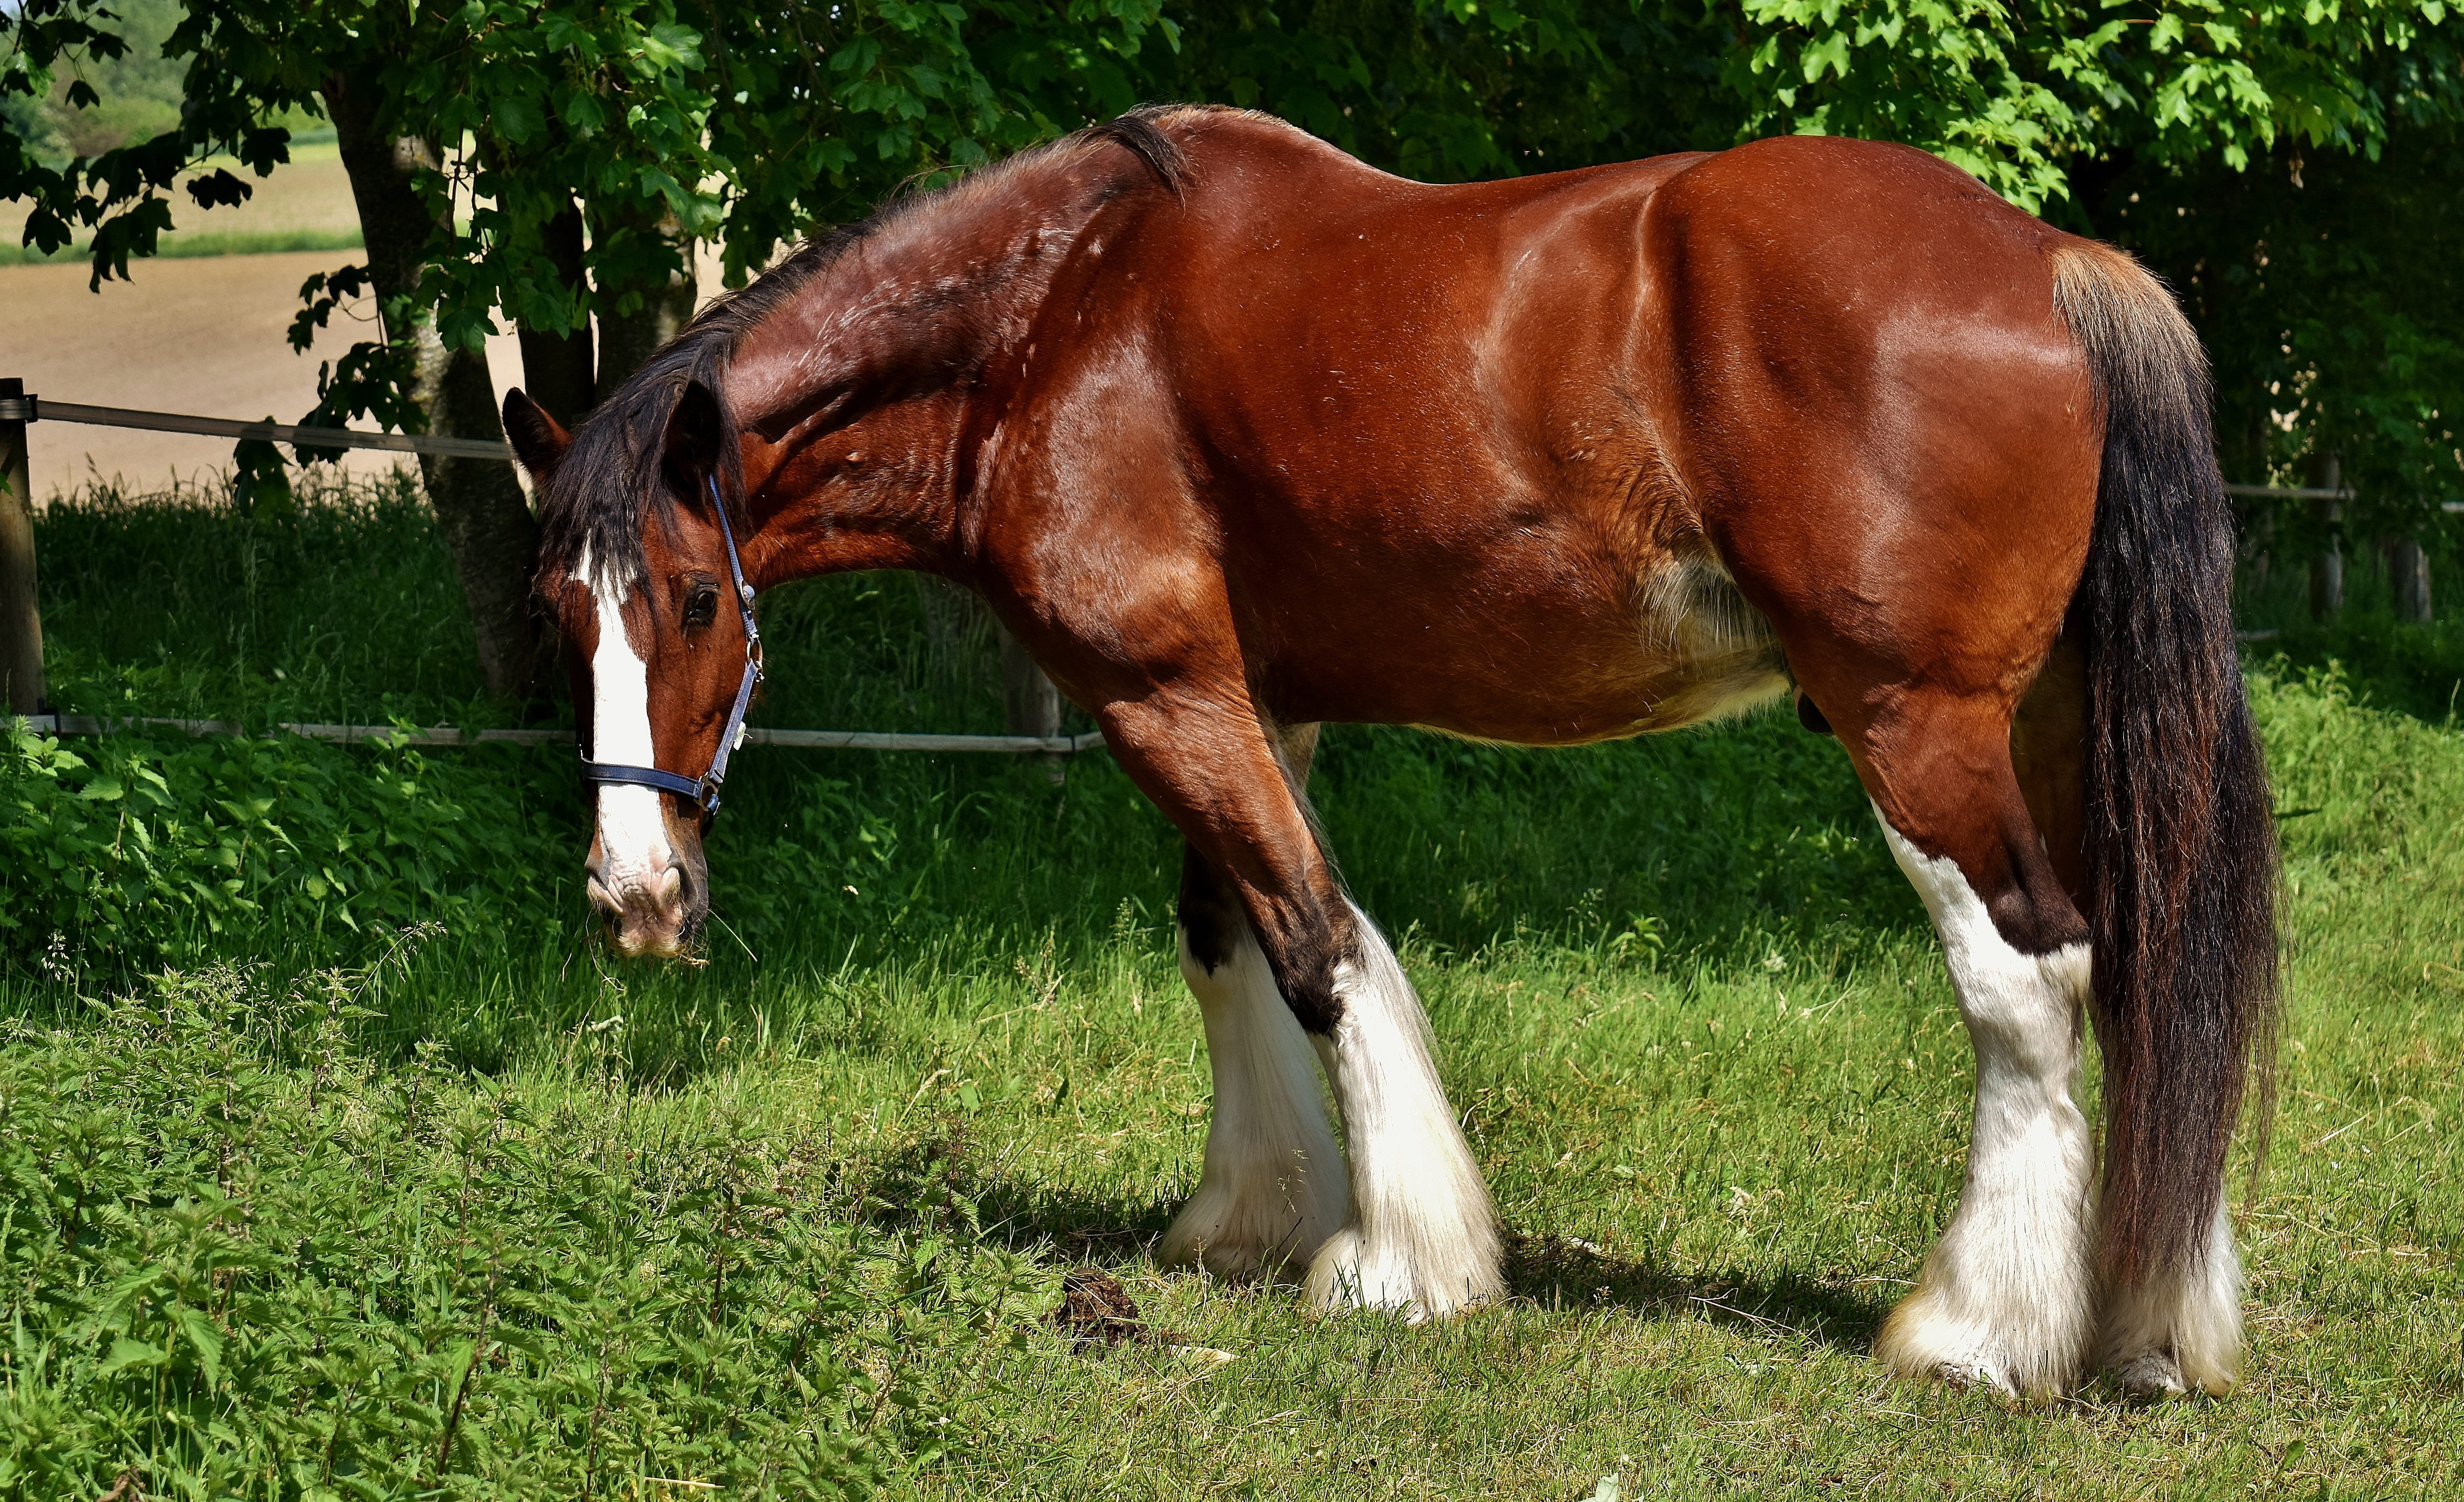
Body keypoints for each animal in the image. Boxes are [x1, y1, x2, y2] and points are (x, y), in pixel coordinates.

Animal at [505, 105, 2278, 1401]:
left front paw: (1399, 1263)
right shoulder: (1236, 697)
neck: (1053, 322)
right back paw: (2145, 1325)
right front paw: (1246, 1213)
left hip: (1913, 725)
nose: (634, 898)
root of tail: (2051, 261)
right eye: (558, 612)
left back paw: (1982, 1332)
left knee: (2029, 980)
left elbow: (1314, 946)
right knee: (2135, 976)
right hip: (2056, 725)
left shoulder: (1161, 691)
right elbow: (1222, 936)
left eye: (688, 601)